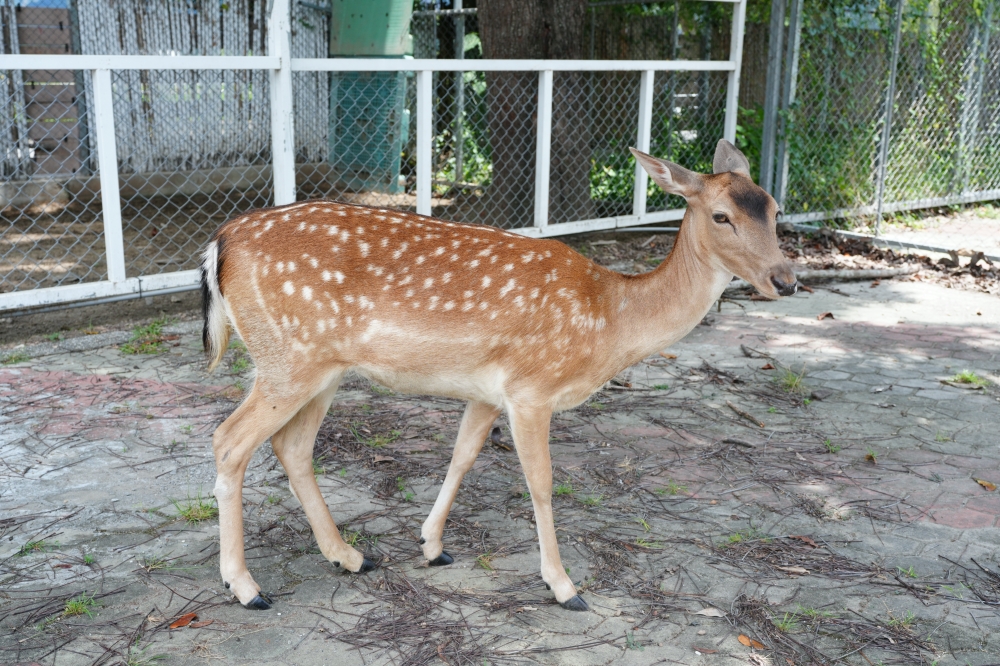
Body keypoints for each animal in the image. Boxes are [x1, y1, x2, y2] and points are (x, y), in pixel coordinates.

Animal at [201, 139, 796, 612]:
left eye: (774, 208)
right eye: (721, 216)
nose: (785, 279)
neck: (608, 319)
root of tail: (219, 244)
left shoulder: (488, 391)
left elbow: (462, 457)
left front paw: (432, 545)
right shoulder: (532, 389)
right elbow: (541, 482)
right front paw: (563, 586)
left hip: (321, 369)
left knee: (292, 447)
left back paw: (349, 556)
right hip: (289, 358)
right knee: (229, 440)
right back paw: (246, 587)